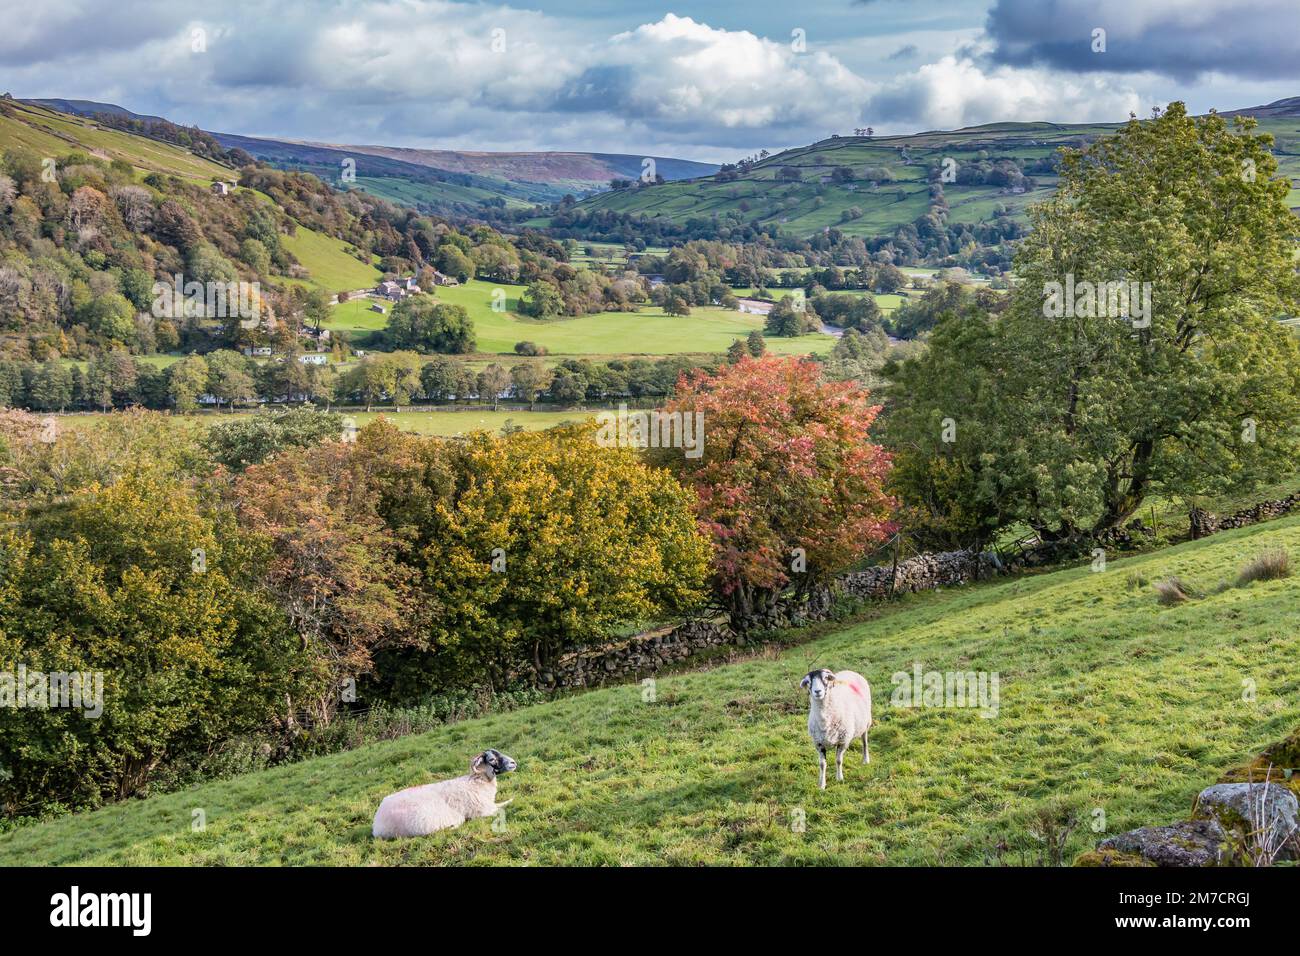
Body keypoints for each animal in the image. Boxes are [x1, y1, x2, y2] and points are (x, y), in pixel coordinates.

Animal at [371, 749, 517, 837]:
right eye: (492, 759)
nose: (513, 763)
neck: (477, 783)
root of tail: (376, 822)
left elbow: (503, 803)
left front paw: (513, 799)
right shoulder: (483, 811)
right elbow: (501, 807)